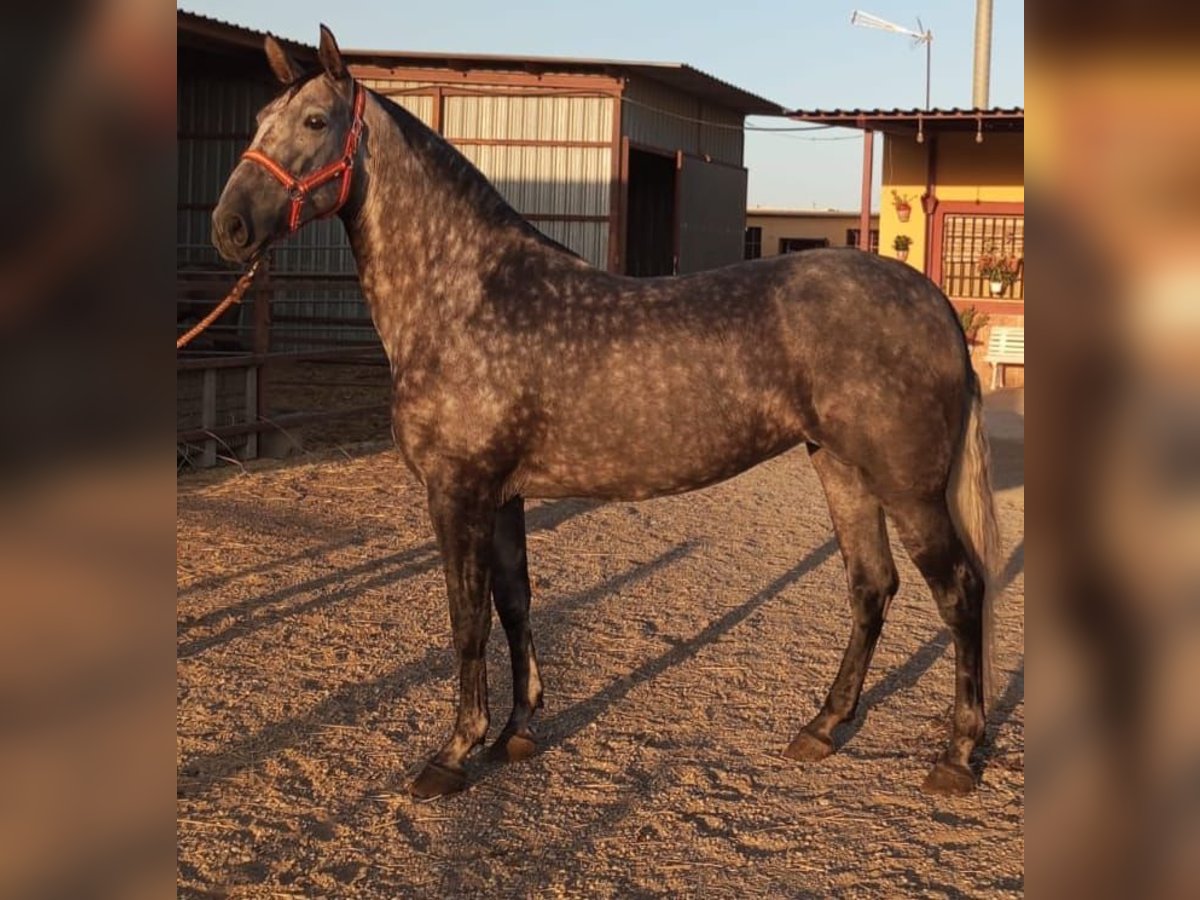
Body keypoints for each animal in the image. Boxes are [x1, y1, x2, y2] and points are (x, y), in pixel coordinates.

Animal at [211, 26, 1000, 800]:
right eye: (258, 120)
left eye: (316, 122)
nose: (229, 227)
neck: (466, 293)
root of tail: (933, 302)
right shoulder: (503, 495)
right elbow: (515, 601)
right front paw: (516, 731)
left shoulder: (457, 491)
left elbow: (466, 620)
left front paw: (453, 753)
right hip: (840, 468)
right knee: (872, 585)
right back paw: (822, 727)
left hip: (907, 488)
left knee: (960, 590)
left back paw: (958, 757)